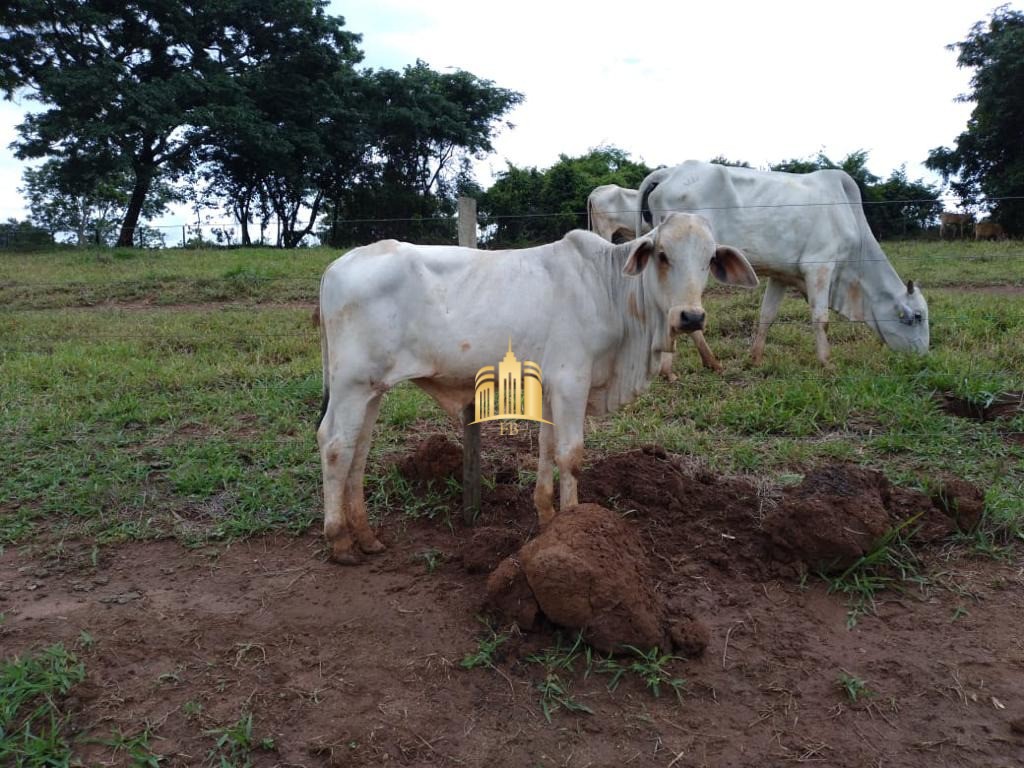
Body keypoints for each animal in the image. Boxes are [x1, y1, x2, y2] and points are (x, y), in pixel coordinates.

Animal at [315, 214, 757, 561]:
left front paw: (546, 515)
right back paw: (340, 541)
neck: (609, 288)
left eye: (709, 259)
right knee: (336, 445)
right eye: (663, 255)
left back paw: (366, 536)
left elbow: (546, 447)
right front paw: (574, 524)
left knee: (358, 449)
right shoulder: (571, 380)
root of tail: (337, 265)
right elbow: (571, 454)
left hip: (372, 388)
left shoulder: (547, 386)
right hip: (352, 383)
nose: (691, 317)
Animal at [638, 160, 937, 364]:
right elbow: (821, 318)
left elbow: (767, 316)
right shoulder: (820, 267)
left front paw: (755, 358)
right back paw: (709, 362)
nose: (923, 356)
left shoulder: (781, 275)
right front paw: (827, 362)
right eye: (918, 317)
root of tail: (667, 172)